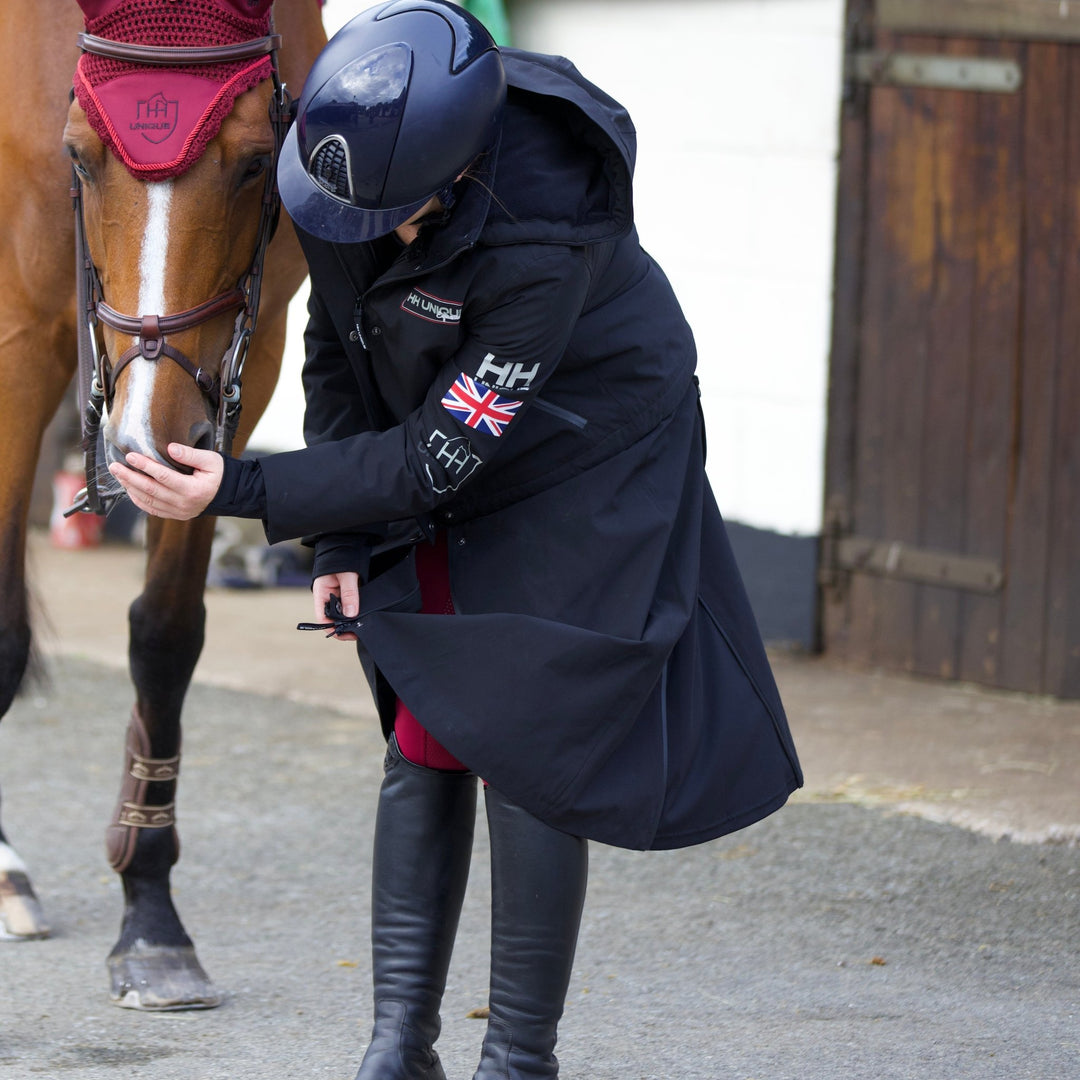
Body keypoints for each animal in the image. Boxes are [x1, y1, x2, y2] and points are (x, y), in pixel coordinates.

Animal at [1, 0, 328, 1010]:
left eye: (257, 160)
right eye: (77, 156)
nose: (142, 437)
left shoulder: (249, 355)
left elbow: (168, 635)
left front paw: (150, 917)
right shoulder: (20, 338)